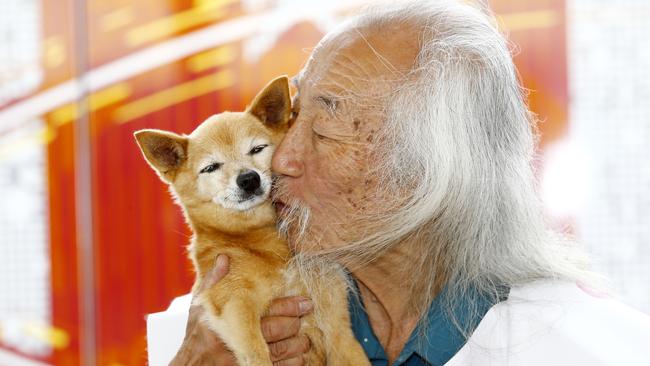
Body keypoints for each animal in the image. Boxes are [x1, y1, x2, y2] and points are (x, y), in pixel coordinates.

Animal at [134, 76, 368, 364]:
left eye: (257, 149)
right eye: (211, 167)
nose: (248, 179)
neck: (263, 240)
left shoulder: (335, 317)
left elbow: (348, 348)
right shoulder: (234, 306)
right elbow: (257, 353)